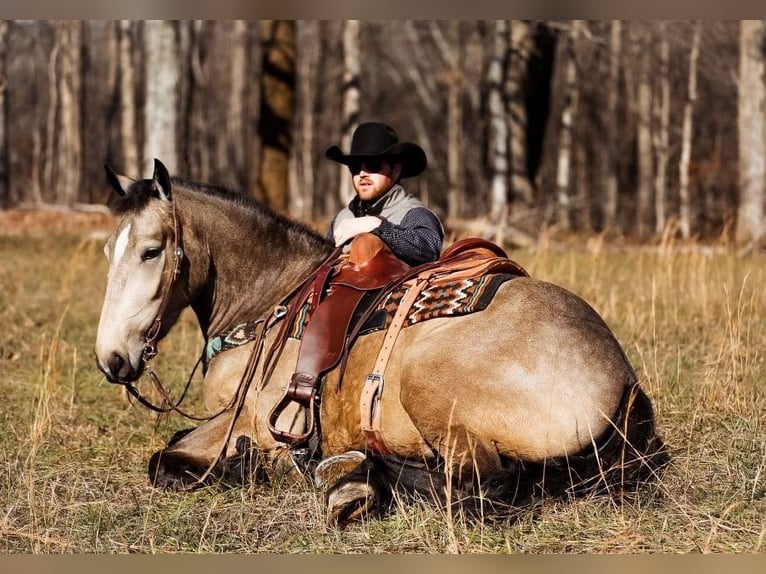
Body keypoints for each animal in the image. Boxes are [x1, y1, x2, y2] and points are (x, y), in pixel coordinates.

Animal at [96, 160, 668, 528]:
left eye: (151, 250)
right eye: (108, 250)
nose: (112, 360)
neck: (272, 301)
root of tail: (620, 380)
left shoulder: (247, 421)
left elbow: (165, 460)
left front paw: (252, 465)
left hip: (428, 389)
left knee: (481, 488)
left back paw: (355, 480)